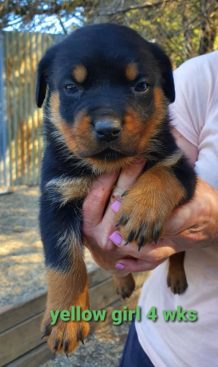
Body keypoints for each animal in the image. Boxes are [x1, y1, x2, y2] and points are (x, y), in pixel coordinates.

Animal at [36, 22, 197, 354]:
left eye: (141, 86)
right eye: (71, 87)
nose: (107, 128)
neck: (108, 166)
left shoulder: (183, 167)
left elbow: (162, 173)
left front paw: (142, 209)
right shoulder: (56, 197)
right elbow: (64, 263)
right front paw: (65, 320)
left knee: (178, 252)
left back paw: (176, 277)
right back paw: (122, 282)